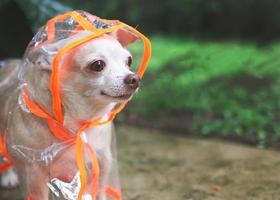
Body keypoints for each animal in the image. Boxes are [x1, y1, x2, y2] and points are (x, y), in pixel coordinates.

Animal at [0, 28, 140, 199]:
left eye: (129, 61)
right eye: (98, 65)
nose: (134, 78)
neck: (77, 125)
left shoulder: (102, 161)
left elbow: (100, 191)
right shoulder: (34, 172)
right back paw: (8, 177)